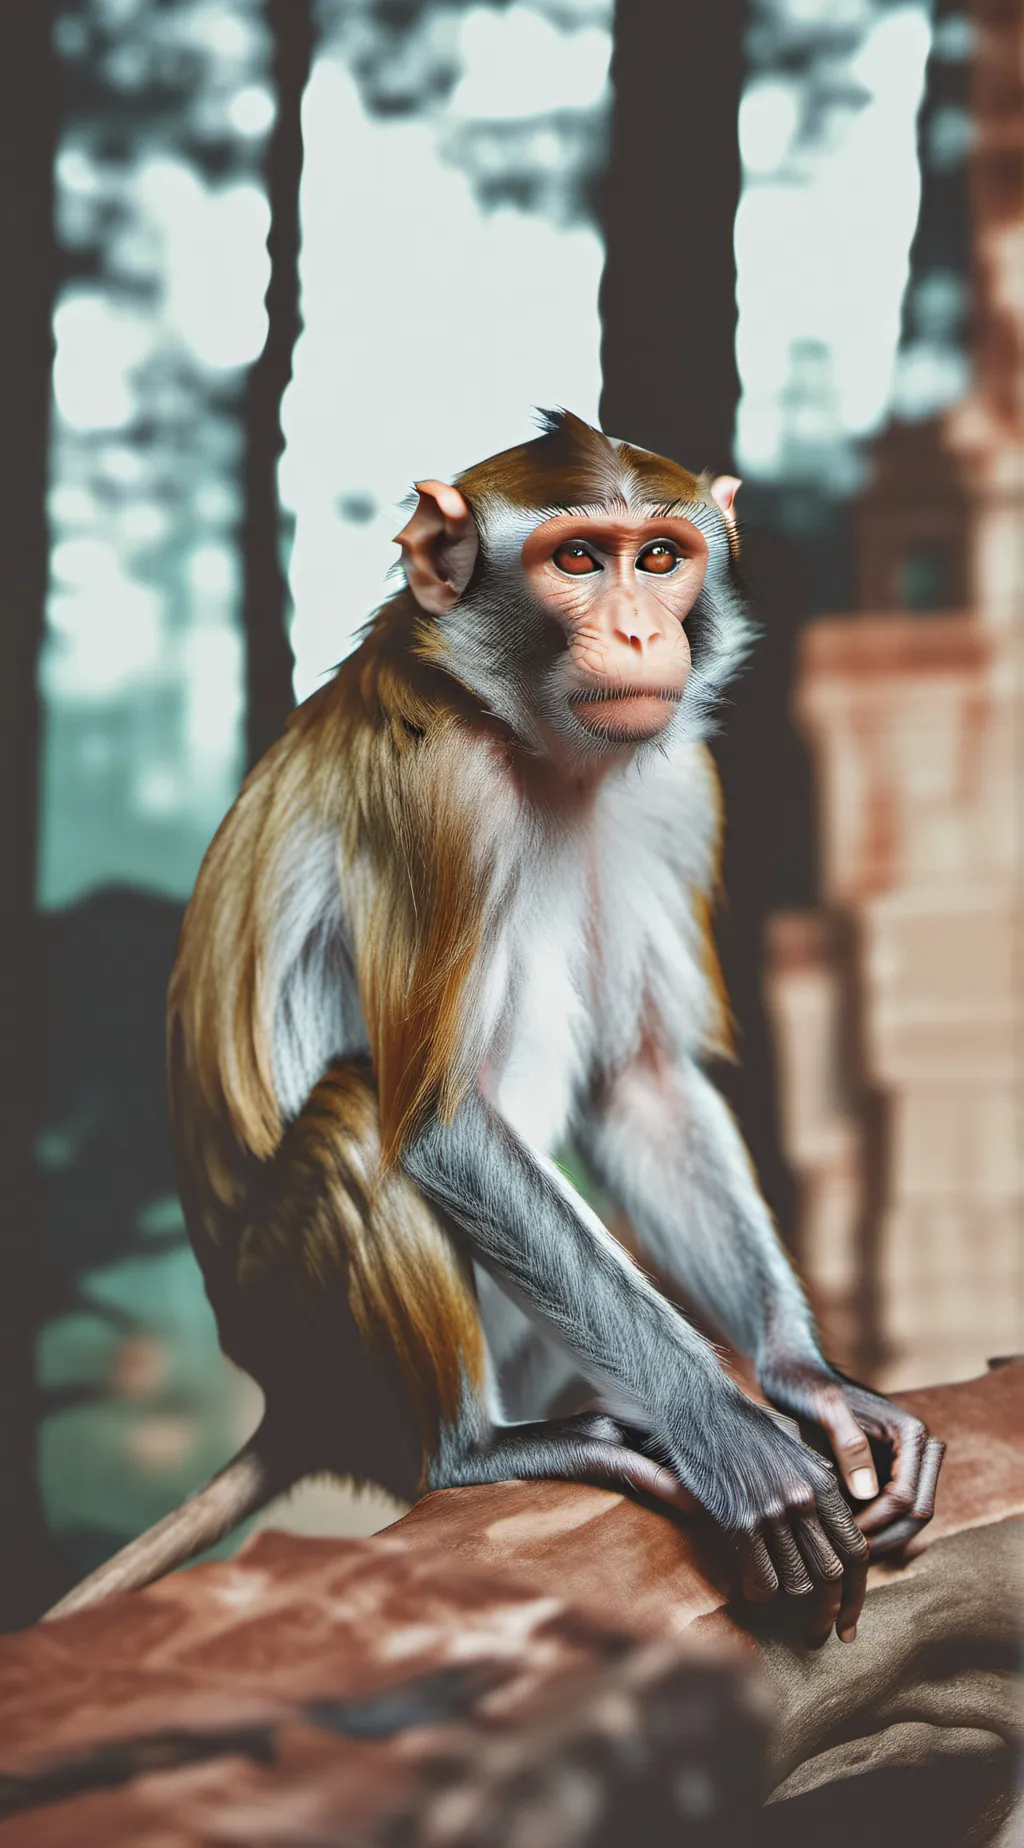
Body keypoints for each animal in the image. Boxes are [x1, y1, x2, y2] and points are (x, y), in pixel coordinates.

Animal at [46, 411, 943, 1644]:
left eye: (658, 558)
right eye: (577, 560)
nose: (638, 628)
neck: (529, 742)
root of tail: (289, 1404)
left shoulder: (676, 788)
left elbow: (641, 1082)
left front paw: (806, 1378)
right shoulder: (441, 796)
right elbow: (435, 1122)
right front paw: (730, 1435)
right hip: (307, 1325)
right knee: (358, 1121)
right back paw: (473, 1449)